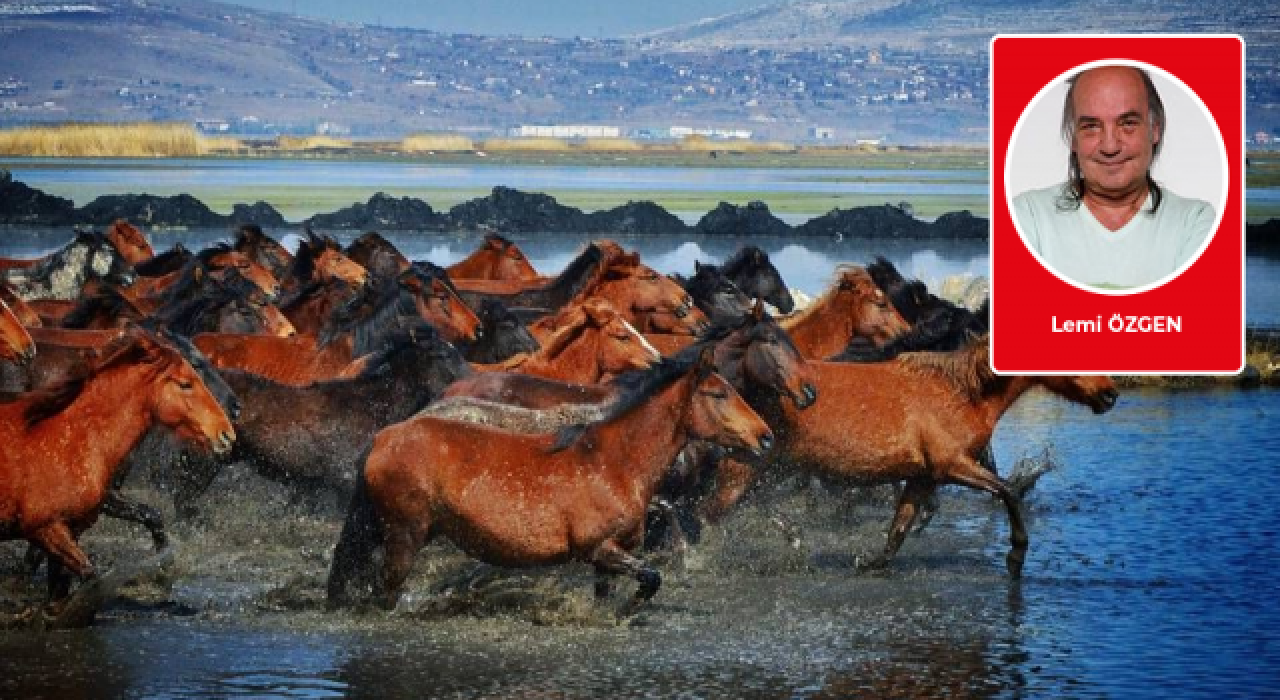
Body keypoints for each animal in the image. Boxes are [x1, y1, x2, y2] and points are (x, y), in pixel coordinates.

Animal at [327, 348, 768, 611]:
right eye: (718, 394)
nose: (765, 436)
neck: (615, 462)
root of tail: (385, 437)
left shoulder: (608, 557)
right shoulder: (598, 549)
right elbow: (651, 576)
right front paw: (636, 604)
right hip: (404, 536)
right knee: (384, 591)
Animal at [706, 337, 1116, 578]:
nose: (1110, 395)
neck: (964, 393)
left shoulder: (923, 478)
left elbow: (898, 532)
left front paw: (869, 564)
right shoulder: (953, 466)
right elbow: (1008, 491)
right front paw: (1016, 555)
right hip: (742, 471)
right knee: (708, 513)